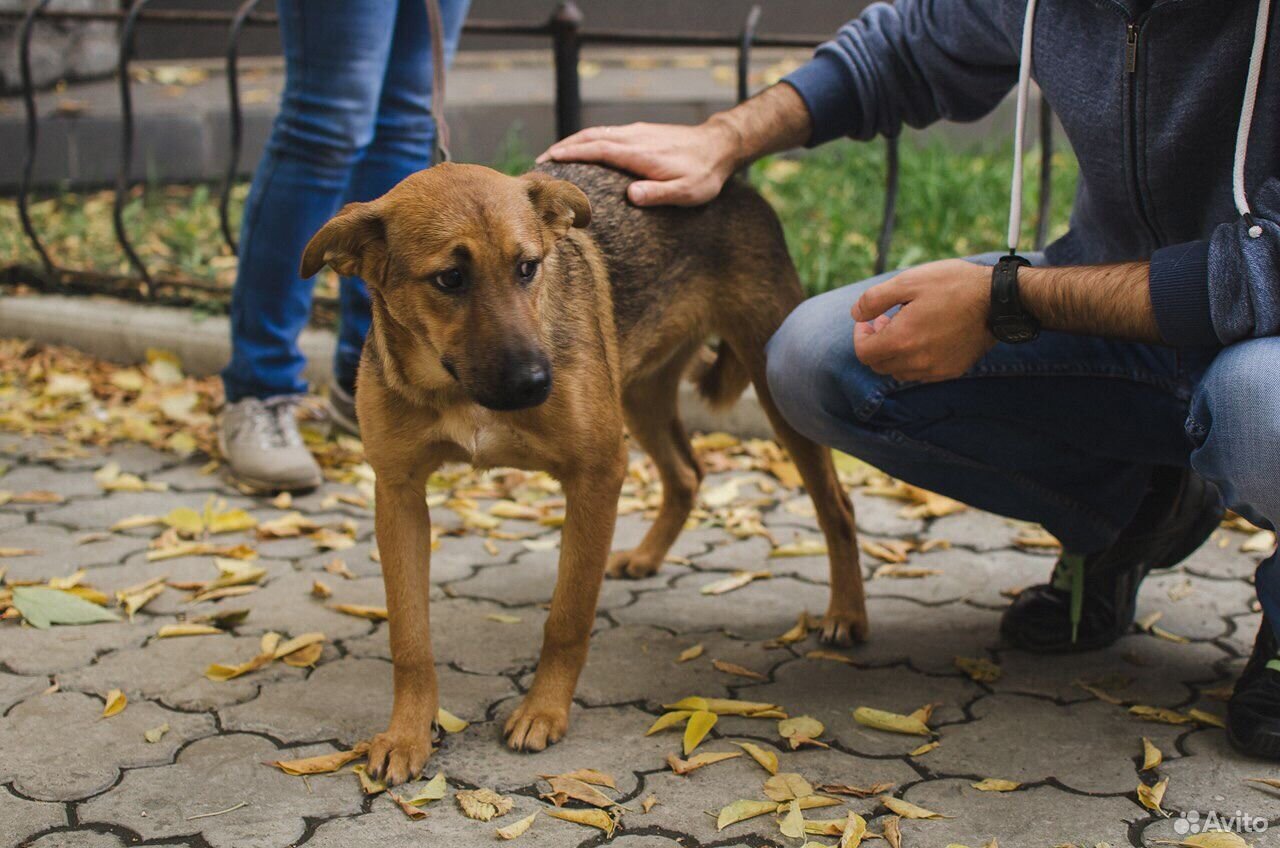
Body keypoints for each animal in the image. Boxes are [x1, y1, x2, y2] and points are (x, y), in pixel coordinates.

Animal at [299, 159, 865, 783]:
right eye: (449, 279)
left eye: (528, 267)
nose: (535, 383)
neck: (455, 389)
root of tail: (736, 183)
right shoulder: (398, 493)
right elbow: (409, 637)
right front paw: (407, 734)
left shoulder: (597, 474)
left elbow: (567, 618)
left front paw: (543, 712)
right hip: (640, 394)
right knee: (687, 473)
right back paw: (647, 556)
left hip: (771, 391)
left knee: (837, 505)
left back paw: (846, 615)